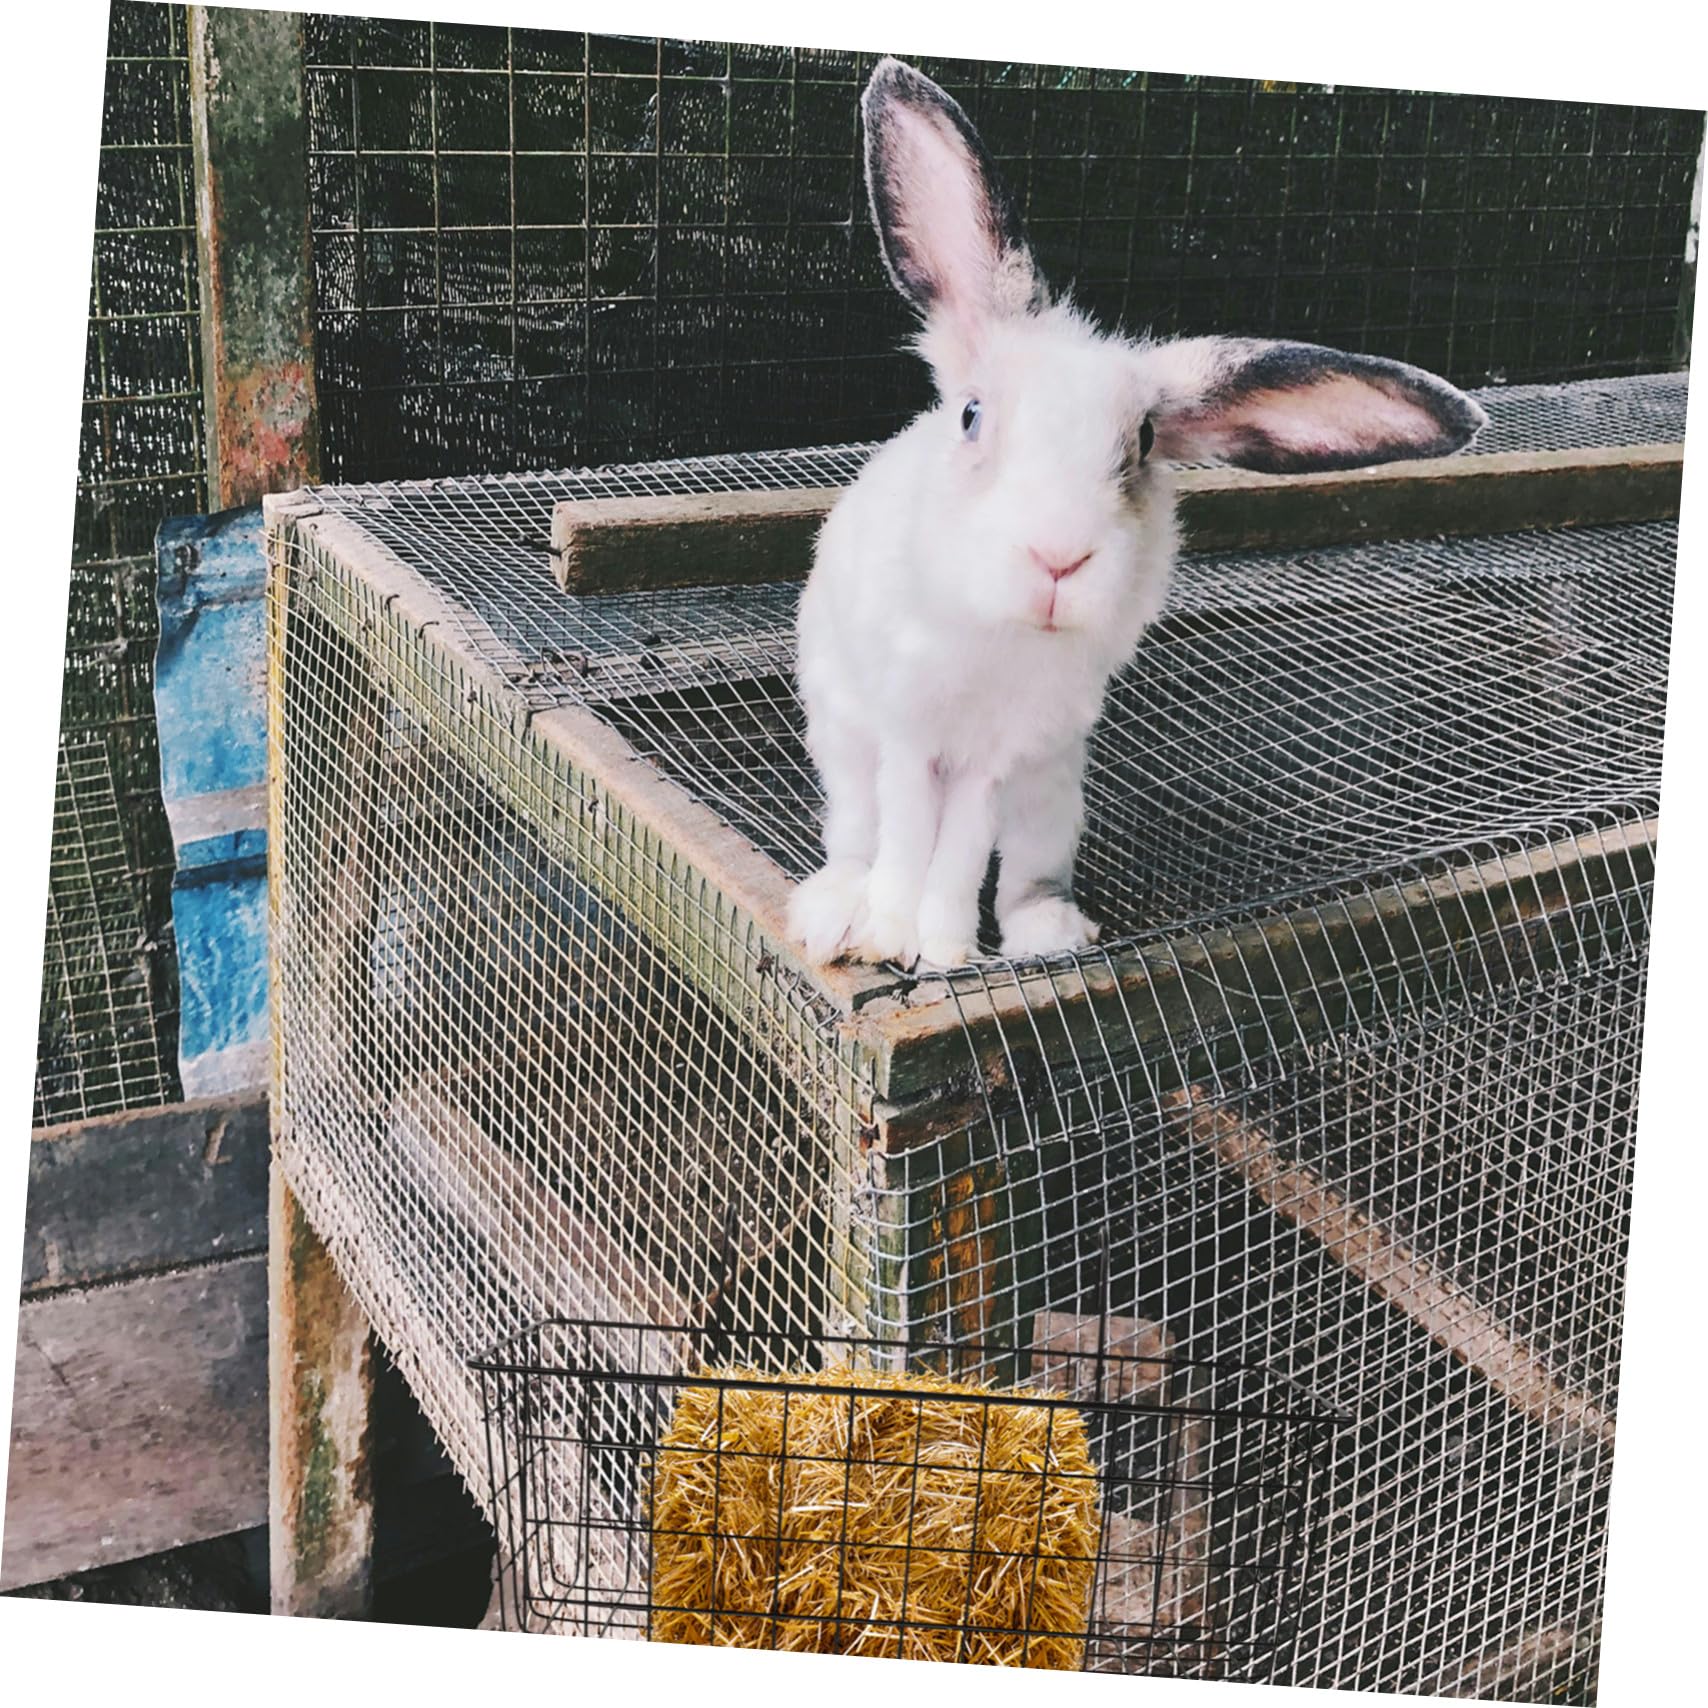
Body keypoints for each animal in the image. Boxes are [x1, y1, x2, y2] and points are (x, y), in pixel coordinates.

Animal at [788, 57, 1487, 973]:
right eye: (972, 415)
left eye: (1144, 442)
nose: (1058, 559)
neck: (1000, 640)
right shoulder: (910, 733)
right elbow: (908, 840)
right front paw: (892, 939)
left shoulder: (1001, 756)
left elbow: (961, 850)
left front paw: (944, 951)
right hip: (844, 745)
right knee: (858, 840)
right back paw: (836, 914)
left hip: (1055, 794)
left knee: (1026, 875)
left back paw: (1046, 935)